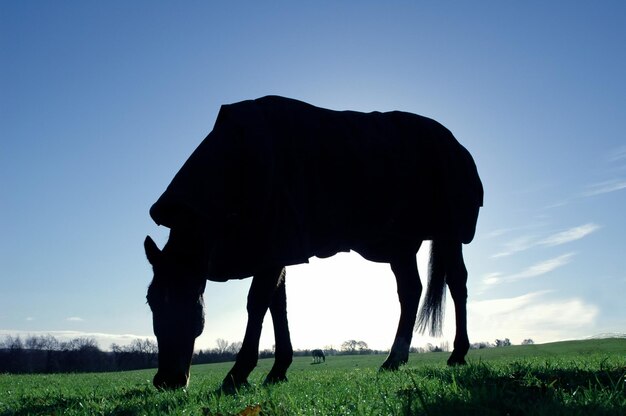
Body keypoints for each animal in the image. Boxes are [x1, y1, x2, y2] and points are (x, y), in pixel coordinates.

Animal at [144, 96, 480, 392]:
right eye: (151, 301)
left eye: (189, 299)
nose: (166, 380)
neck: (238, 162)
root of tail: (456, 145)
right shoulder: (275, 250)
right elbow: (278, 307)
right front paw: (278, 369)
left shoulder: (276, 244)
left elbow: (258, 303)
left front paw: (238, 373)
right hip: (401, 242)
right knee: (410, 291)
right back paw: (394, 359)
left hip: (449, 233)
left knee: (456, 283)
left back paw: (457, 353)